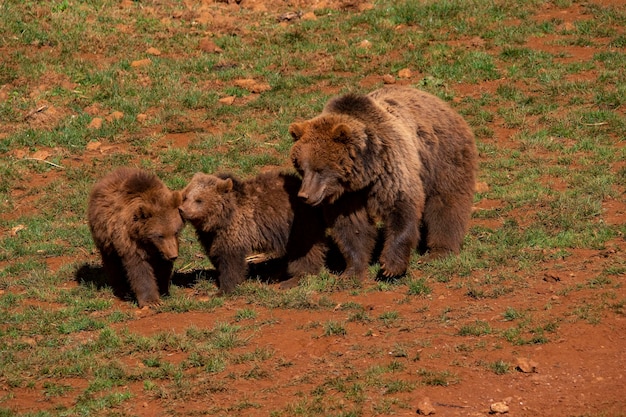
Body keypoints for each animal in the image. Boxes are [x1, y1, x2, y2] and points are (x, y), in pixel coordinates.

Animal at [86, 167, 183, 308]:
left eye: (175, 232)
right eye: (160, 235)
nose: (173, 256)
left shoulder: (163, 248)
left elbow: (163, 267)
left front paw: (163, 289)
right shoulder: (129, 240)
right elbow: (139, 268)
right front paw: (151, 301)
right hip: (104, 234)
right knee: (111, 261)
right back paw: (121, 288)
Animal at [177, 169, 326, 292]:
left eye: (199, 200)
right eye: (186, 196)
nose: (182, 210)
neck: (219, 220)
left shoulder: (235, 231)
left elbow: (231, 261)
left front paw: (225, 288)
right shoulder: (211, 236)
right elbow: (216, 255)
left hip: (298, 223)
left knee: (303, 251)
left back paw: (294, 278)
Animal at [288, 85, 478, 280]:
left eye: (320, 169)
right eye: (301, 168)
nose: (304, 195)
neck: (363, 174)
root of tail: (439, 102)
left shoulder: (390, 167)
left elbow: (401, 206)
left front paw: (390, 265)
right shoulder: (347, 196)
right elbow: (352, 226)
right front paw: (352, 270)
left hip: (442, 155)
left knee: (446, 201)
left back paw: (441, 250)